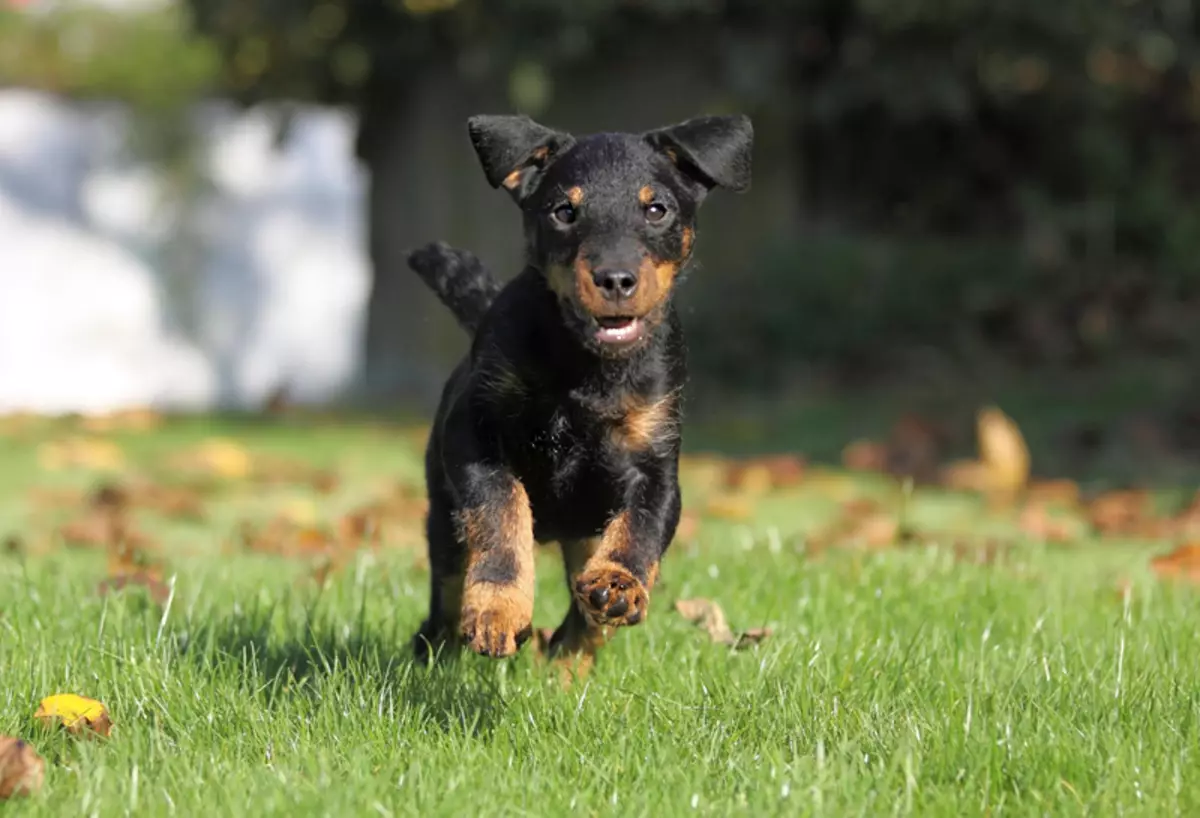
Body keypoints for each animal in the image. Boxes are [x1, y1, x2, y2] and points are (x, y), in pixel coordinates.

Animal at [408, 111, 753, 671]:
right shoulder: (472, 433)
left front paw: (618, 583)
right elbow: (501, 509)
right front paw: (497, 609)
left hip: (585, 530)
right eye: (564, 212)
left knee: (584, 614)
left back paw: (567, 659)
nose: (615, 280)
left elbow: (641, 529)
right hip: (444, 520)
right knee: (445, 597)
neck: (588, 366)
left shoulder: (655, 461)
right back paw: (440, 649)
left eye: (656, 209)